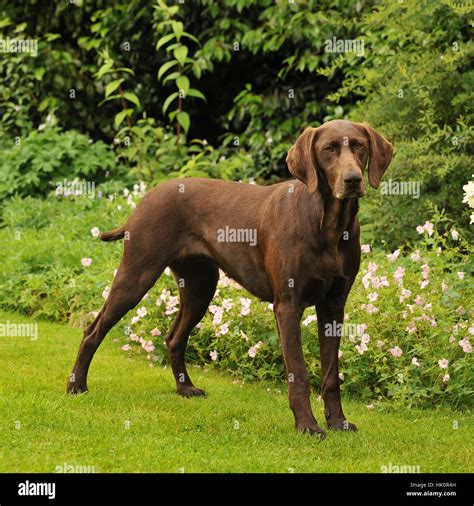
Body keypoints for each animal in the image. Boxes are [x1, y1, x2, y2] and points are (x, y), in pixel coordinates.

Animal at [67, 119, 392, 438]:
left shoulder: (333, 305)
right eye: (328, 149)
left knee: (174, 337)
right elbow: (298, 372)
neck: (329, 225)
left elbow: (331, 374)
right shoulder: (288, 305)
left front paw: (337, 421)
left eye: (359, 147)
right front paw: (307, 425)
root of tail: (145, 198)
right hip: (136, 275)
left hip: (200, 286)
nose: (353, 180)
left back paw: (185, 388)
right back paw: (76, 385)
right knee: (93, 330)